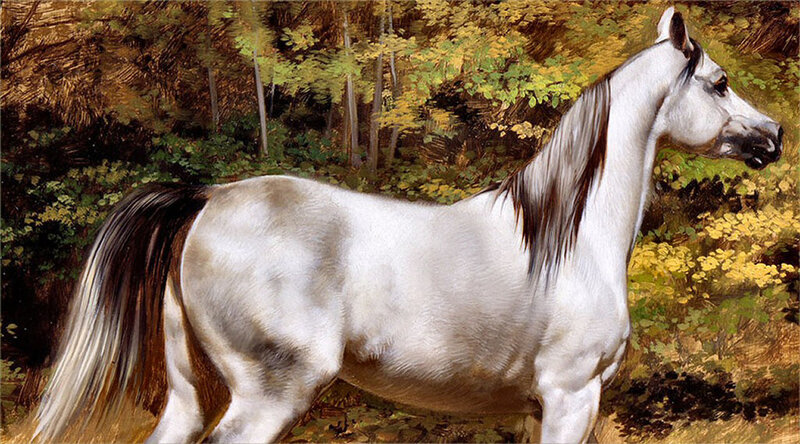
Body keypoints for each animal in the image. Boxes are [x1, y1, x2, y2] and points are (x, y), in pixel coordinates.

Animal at [34, 8, 782, 443]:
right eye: (718, 82)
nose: (773, 137)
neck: (567, 238)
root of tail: (209, 197)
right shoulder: (572, 395)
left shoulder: (538, 407)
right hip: (269, 393)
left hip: (189, 390)